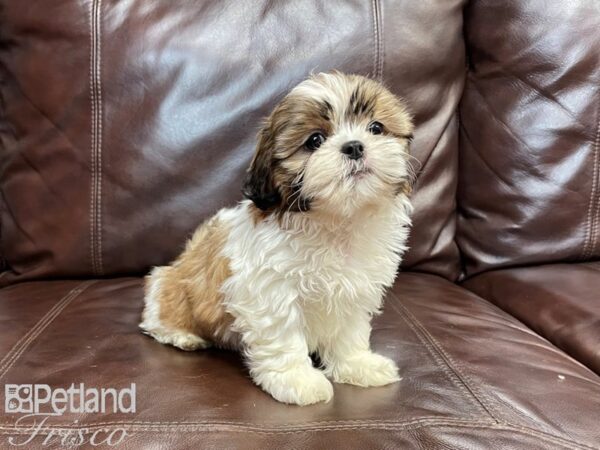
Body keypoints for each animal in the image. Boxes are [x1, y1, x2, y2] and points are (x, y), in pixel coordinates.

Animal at [140, 72, 412, 406]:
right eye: (315, 141)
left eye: (376, 128)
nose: (354, 147)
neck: (336, 220)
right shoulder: (270, 290)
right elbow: (283, 335)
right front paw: (297, 380)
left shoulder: (356, 288)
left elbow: (349, 331)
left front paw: (357, 364)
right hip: (169, 287)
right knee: (158, 313)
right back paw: (183, 336)